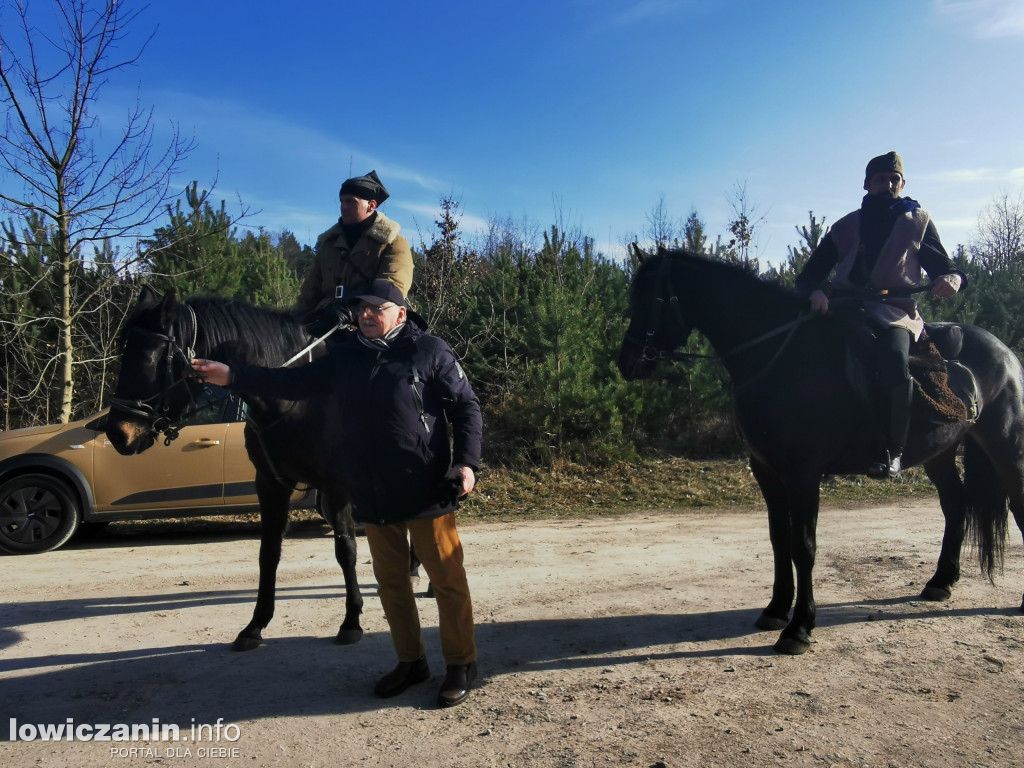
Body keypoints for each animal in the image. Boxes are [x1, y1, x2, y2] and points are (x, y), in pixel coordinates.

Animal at [107, 286, 364, 651]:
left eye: (148, 359)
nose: (117, 433)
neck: (298, 396)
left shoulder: (336, 486)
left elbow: (346, 549)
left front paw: (351, 620)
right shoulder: (270, 484)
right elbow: (268, 553)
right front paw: (255, 625)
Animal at [614, 247, 1024, 655]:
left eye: (654, 298)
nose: (628, 362)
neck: (781, 355)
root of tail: (1004, 350)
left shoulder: (803, 474)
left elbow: (803, 546)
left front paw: (798, 628)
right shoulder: (766, 470)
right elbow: (779, 539)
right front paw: (776, 609)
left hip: (1005, 445)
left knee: (1014, 505)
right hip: (940, 453)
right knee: (955, 505)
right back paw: (941, 582)